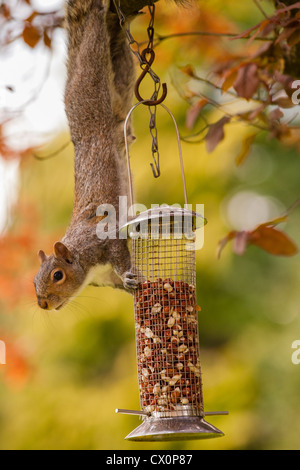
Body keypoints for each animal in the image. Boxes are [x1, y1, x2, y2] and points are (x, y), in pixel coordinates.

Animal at [32, 0, 183, 312]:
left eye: (57, 275)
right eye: (34, 281)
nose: (43, 304)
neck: (83, 261)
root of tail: (83, 129)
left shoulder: (103, 239)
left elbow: (119, 254)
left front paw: (131, 276)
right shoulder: (105, 278)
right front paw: (133, 284)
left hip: (92, 82)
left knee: (93, 42)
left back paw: (99, 10)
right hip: (121, 91)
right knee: (121, 61)